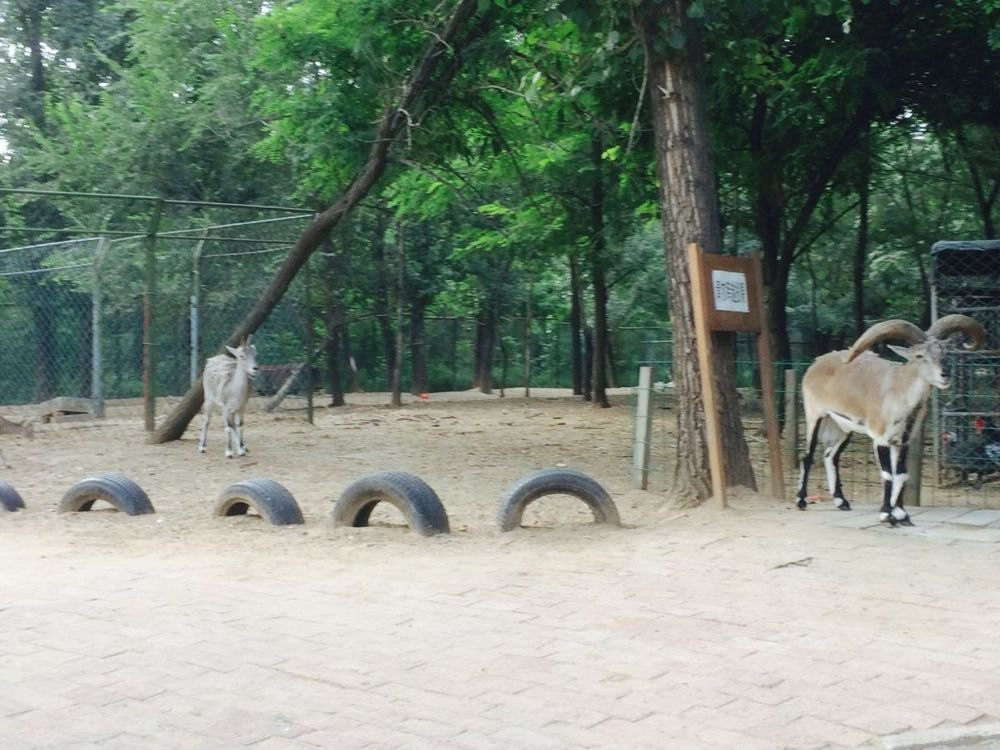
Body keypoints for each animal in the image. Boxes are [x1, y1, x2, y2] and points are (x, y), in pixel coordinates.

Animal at [796, 314, 984, 524]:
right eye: (920, 356)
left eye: (945, 353)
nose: (944, 375)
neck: (898, 393)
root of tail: (815, 364)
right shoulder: (881, 438)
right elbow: (887, 474)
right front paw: (887, 514)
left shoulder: (903, 441)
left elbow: (901, 474)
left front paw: (902, 514)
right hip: (815, 415)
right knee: (808, 455)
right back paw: (801, 501)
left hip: (843, 427)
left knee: (830, 456)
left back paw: (841, 501)